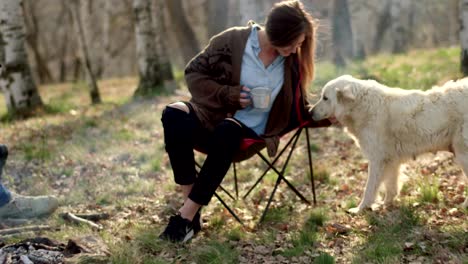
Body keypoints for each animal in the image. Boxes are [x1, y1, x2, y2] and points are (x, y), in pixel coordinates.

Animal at [310, 75, 468, 213]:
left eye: (325, 98)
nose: (310, 112)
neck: (362, 106)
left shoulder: (377, 159)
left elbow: (369, 188)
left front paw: (360, 209)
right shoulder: (391, 160)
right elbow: (390, 186)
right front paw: (386, 204)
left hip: (462, 154)